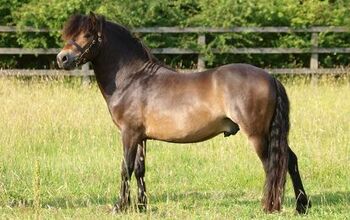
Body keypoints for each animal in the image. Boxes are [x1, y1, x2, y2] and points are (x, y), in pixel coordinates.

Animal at [58, 12, 312, 214]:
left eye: (87, 35)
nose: (62, 58)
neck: (133, 78)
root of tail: (270, 77)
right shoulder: (141, 136)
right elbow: (139, 169)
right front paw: (141, 206)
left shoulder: (128, 134)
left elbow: (125, 168)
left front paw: (120, 206)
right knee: (290, 160)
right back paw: (302, 205)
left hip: (258, 134)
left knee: (271, 165)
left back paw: (269, 206)